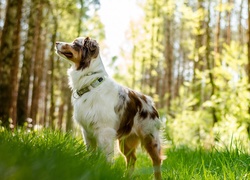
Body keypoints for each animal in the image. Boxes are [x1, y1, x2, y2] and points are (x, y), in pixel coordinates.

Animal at [55, 37, 163, 180]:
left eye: (75, 43)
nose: (56, 43)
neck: (91, 83)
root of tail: (150, 102)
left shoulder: (104, 131)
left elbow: (106, 158)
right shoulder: (87, 131)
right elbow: (91, 154)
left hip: (150, 137)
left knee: (156, 161)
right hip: (125, 141)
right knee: (132, 159)